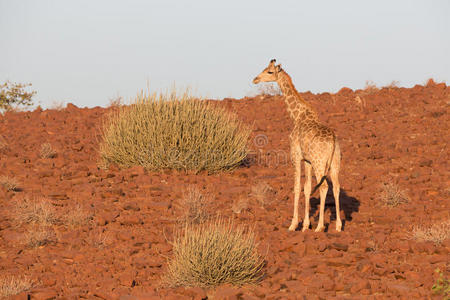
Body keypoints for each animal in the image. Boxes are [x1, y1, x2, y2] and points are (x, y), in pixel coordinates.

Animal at [253, 58, 342, 232]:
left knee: (324, 187)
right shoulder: (307, 160)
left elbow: (296, 186)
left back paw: (320, 227)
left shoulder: (296, 156)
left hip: (320, 163)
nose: (255, 79)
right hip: (335, 163)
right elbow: (306, 188)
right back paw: (339, 226)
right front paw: (305, 225)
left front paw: (293, 225)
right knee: (336, 187)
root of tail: (333, 141)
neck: (297, 116)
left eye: (269, 71)